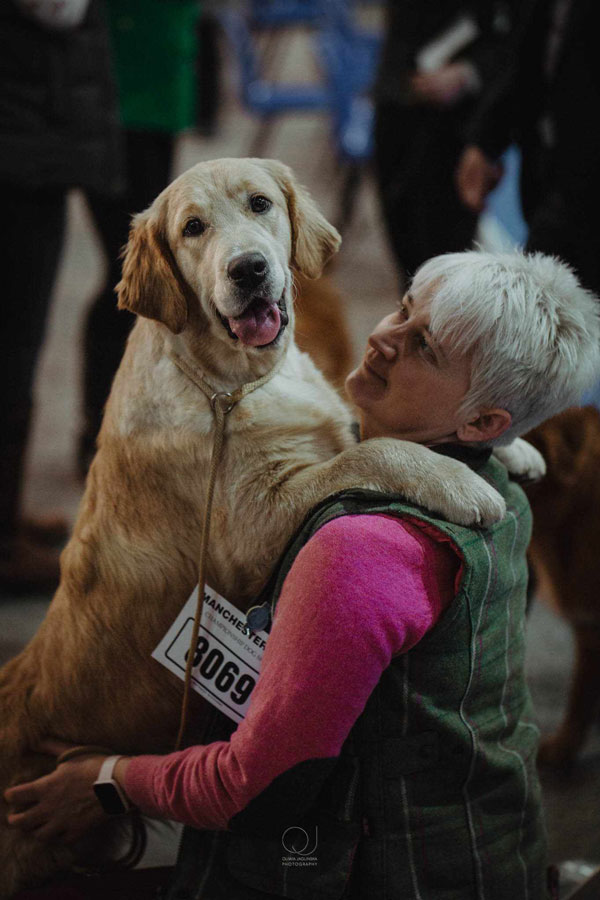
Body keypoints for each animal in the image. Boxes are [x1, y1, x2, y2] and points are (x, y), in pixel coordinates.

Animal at [0, 158, 516, 896]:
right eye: (192, 227)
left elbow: (358, 429)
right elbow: (372, 451)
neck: (235, 381)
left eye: (261, 204)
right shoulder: (251, 530)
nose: (248, 269)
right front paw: (459, 480)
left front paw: (520, 449)